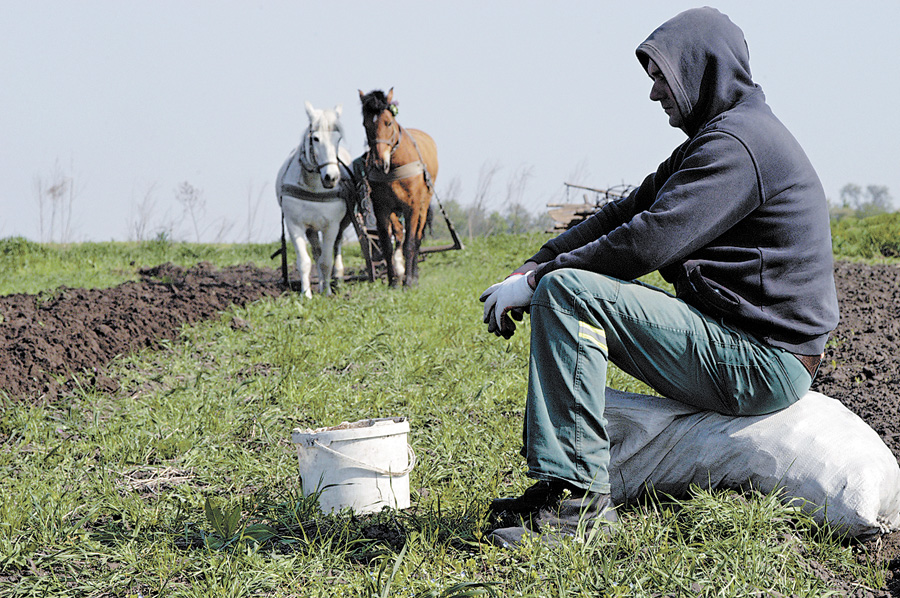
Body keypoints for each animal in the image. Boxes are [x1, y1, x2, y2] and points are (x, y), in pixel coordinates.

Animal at [278, 105, 356, 300]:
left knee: (335, 248)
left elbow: (326, 261)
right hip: (312, 229)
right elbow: (305, 261)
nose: (331, 177)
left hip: (342, 225)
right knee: (316, 251)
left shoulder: (332, 225)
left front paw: (327, 292)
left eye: (338, 138)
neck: (314, 187)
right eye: (315, 138)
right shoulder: (294, 224)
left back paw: (335, 280)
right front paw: (306, 294)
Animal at [356, 86, 438, 288]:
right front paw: (393, 281)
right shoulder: (381, 209)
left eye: (388, 122)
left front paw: (408, 281)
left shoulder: (413, 208)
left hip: (424, 206)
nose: (379, 163)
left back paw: (413, 276)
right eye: (365, 124)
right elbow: (386, 244)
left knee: (417, 238)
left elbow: (411, 242)